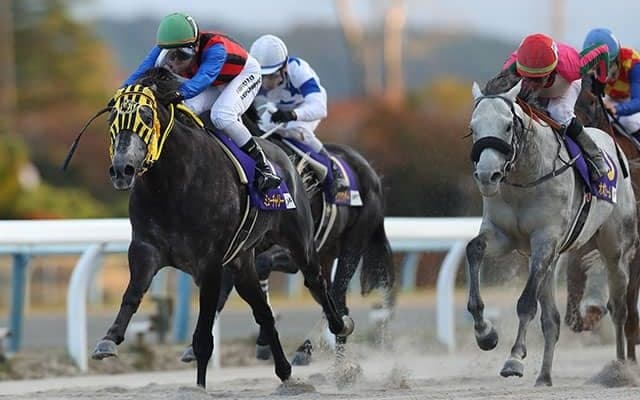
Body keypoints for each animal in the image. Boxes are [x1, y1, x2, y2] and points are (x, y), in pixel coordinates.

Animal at [88, 67, 353, 389]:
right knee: (264, 312)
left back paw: (340, 325)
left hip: (300, 241)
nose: (122, 169)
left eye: (146, 115)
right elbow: (133, 293)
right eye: (112, 118)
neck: (172, 184)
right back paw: (285, 373)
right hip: (242, 262)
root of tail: (284, 157)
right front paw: (108, 340)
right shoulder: (146, 248)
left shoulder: (210, 264)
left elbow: (204, 336)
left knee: (316, 281)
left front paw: (200, 388)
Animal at [468, 80, 638, 386]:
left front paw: (514, 358)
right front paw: (485, 333)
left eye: (507, 126)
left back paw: (620, 369)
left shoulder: (544, 240)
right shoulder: (503, 235)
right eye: (473, 127)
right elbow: (473, 249)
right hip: (556, 257)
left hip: (616, 250)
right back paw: (544, 376)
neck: (524, 178)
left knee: (619, 308)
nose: (487, 176)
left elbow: (526, 303)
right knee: (553, 320)